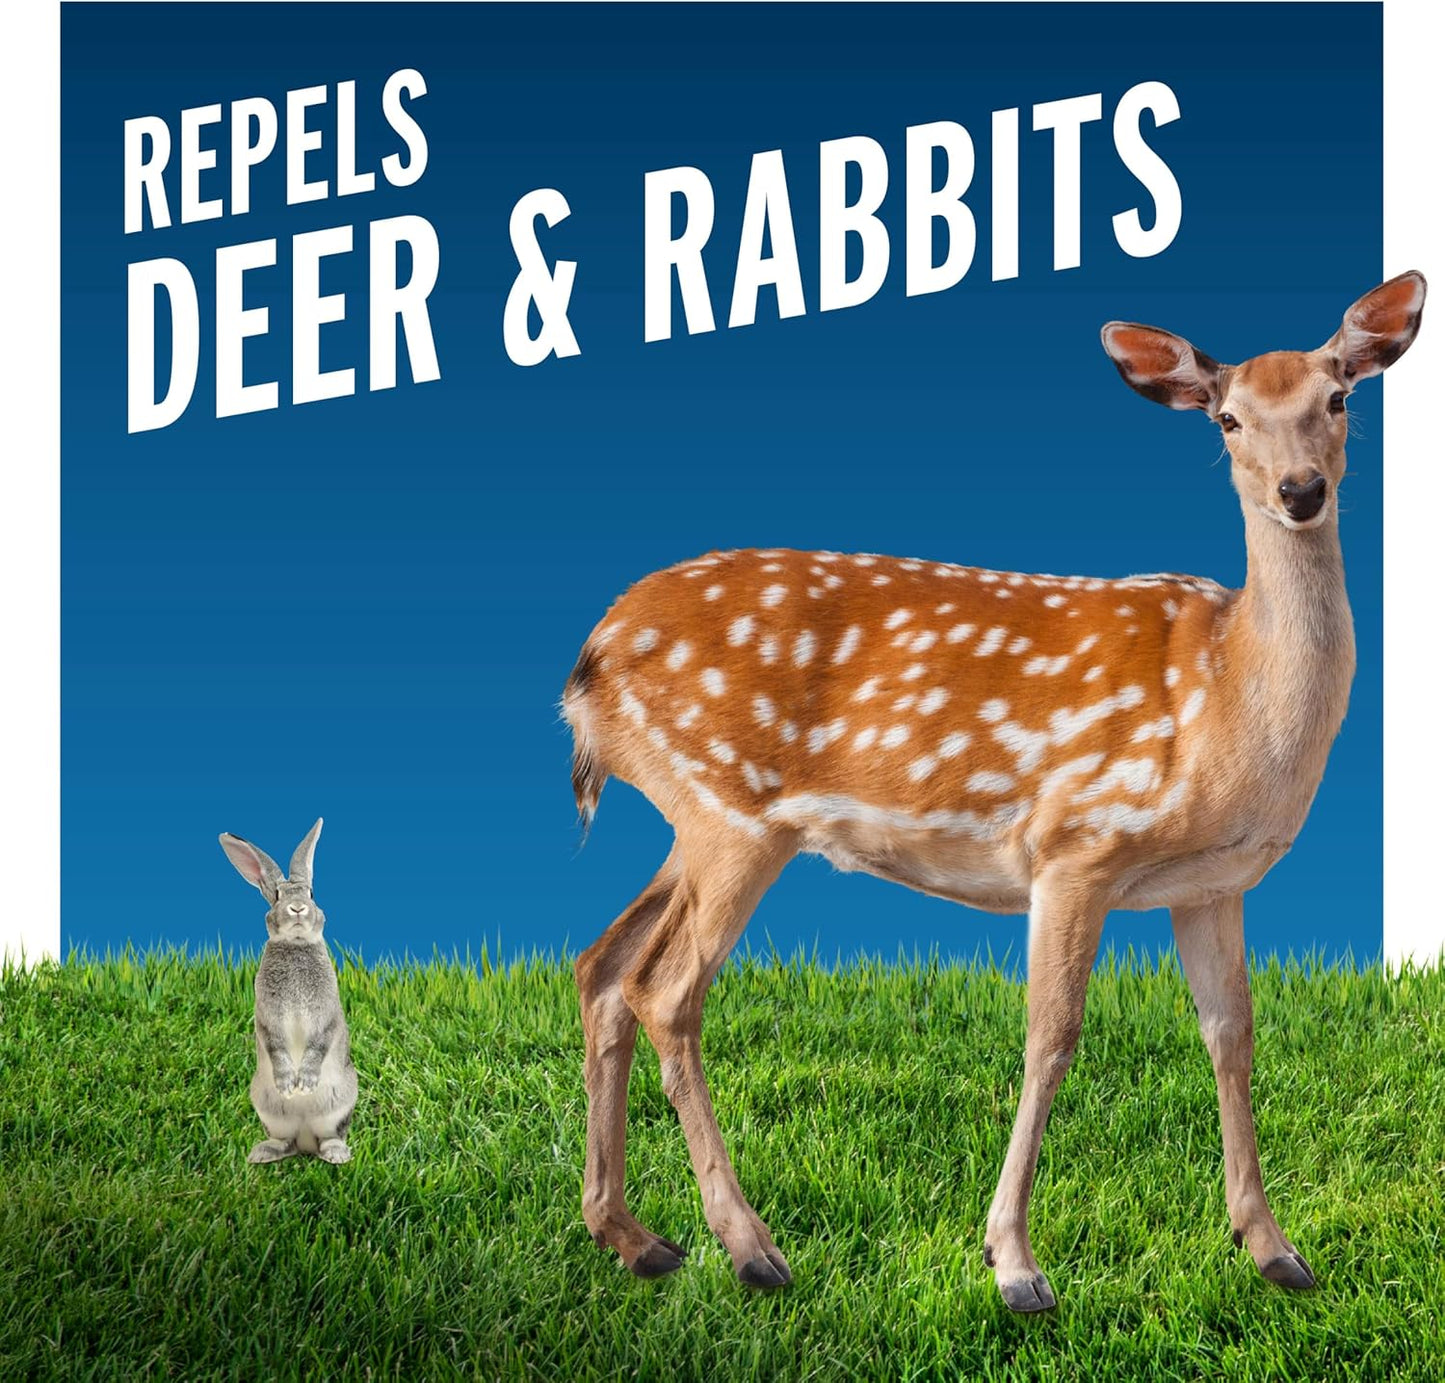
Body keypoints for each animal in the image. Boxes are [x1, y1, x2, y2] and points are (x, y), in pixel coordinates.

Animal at [220, 818, 357, 1165]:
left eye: (311, 892)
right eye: (277, 896)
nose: (297, 908)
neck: (295, 945)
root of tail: (306, 1140)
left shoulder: (326, 1014)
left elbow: (319, 1042)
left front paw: (304, 1083)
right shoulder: (267, 1018)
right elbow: (275, 1044)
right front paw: (288, 1084)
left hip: (340, 1103)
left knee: (329, 1136)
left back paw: (336, 1154)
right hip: (268, 1108)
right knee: (286, 1141)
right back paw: (263, 1153)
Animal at [561, 272, 1425, 1311]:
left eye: (1338, 398)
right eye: (1226, 419)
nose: (1300, 491)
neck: (1227, 697)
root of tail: (587, 661)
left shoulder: (1211, 882)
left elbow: (1233, 1033)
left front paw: (1272, 1247)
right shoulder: (1075, 842)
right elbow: (1050, 1035)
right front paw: (1013, 1262)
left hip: (694, 818)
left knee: (601, 964)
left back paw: (632, 1236)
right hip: (733, 810)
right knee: (664, 989)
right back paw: (748, 1246)